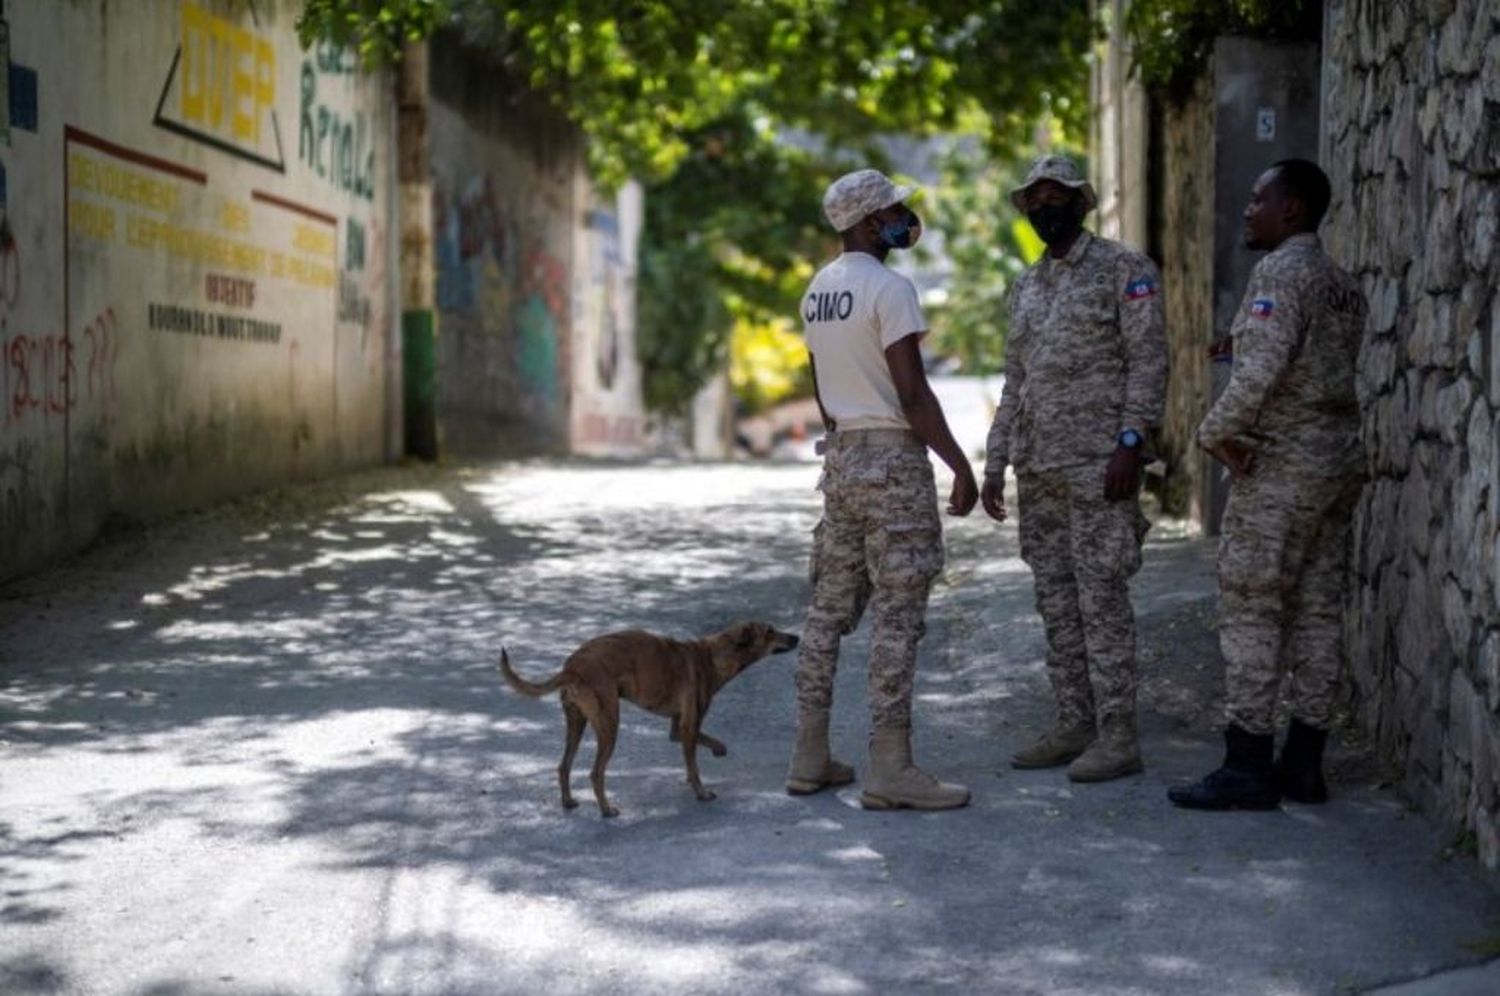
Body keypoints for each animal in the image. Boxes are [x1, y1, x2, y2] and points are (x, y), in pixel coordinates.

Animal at [501, 624, 798, 816]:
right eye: (770, 632)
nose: (796, 637)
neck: (713, 656)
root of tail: (572, 666)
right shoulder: (689, 726)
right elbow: (695, 766)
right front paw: (701, 793)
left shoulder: (678, 729)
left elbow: (704, 750)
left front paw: (714, 754)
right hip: (609, 724)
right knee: (595, 773)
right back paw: (606, 810)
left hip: (577, 723)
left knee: (563, 766)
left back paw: (568, 801)